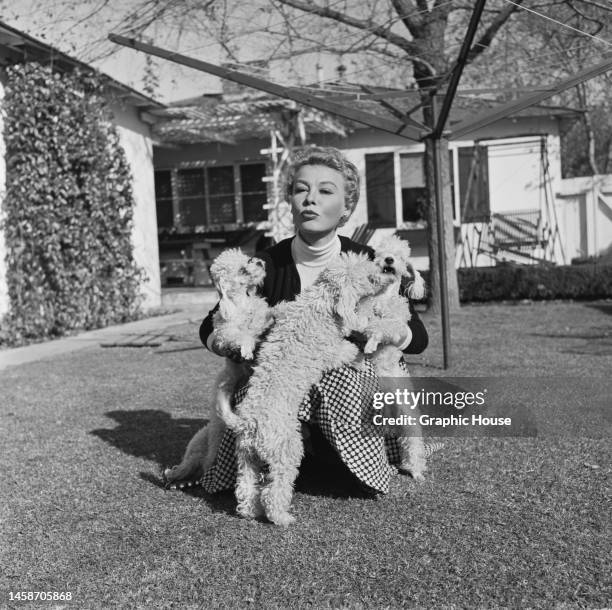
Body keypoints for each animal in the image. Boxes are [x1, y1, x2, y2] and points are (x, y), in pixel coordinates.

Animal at [163, 245, 270, 486]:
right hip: (212, 411)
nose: (260, 261)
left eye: (248, 258)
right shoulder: (224, 334)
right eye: (242, 269)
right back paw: (174, 476)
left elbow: (261, 322)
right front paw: (247, 347)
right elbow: (241, 335)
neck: (242, 303)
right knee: (188, 466)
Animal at [216, 249, 396, 524]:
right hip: (287, 451)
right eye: (370, 277)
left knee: (246, 488)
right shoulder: (330, 351)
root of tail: (248, 423)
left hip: (246, 457)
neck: (321, 303)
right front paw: (359, 360)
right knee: (273, 491)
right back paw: (281, 517)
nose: (387, 273)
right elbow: (348, 350)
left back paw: (249, 512)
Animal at [356, 235, 428, 478]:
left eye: (400, 257)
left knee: (412, 443)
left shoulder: (396, 323)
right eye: (381, 253)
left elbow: (382, 326)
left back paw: (416, 470)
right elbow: (363, 316)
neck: (384, 298)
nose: (389, 260)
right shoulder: (366, 307)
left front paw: (372, 340)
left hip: (408, 417)